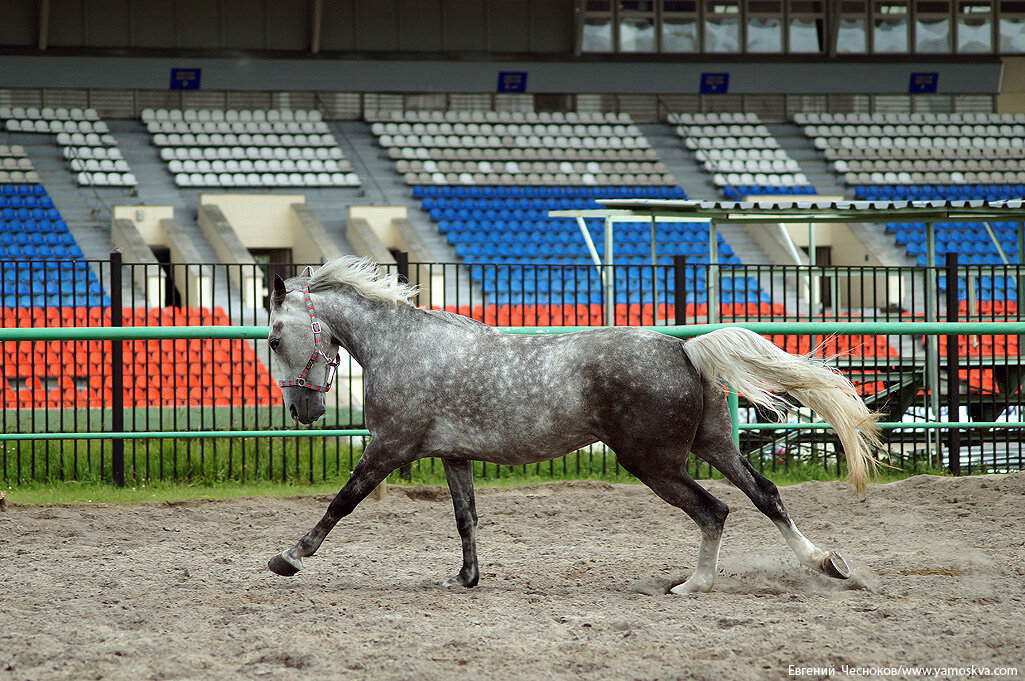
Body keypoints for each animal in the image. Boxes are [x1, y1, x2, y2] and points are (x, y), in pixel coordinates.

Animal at [264, 258, 881, 594]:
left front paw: (288, 558)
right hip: (712, 447)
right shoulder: (453, 455)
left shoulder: (390, 446)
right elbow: (466, 518)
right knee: (765, 495)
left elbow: (342, 502)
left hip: (654, 462)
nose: (303, 412)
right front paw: (465, 578)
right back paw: (827, 564)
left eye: (272, 336)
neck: (403, 347)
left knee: (715, 510)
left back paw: (694, 583)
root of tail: (685, 350)